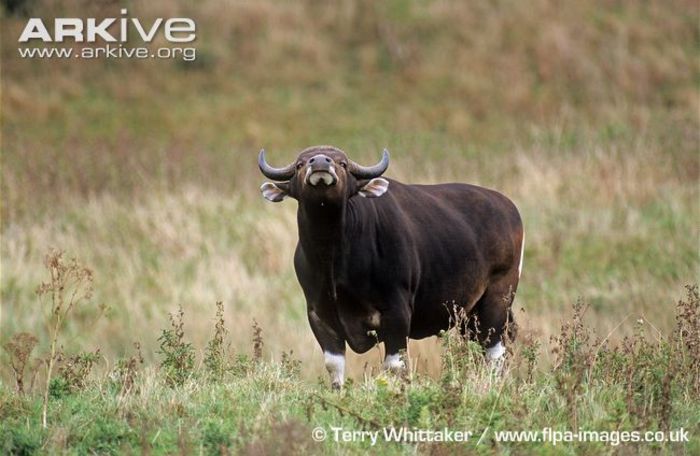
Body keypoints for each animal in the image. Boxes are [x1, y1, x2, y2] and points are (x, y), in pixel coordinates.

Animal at [260, 146, 524, 388]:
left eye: (343, 163)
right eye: (299, 165)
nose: (320, 164)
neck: (335, 262)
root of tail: (509, 209)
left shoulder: (397, 313)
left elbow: (394, 365)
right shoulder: (319, 314)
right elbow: (334, 365)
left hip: (497, 299)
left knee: (494, 351)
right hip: (469, 314)